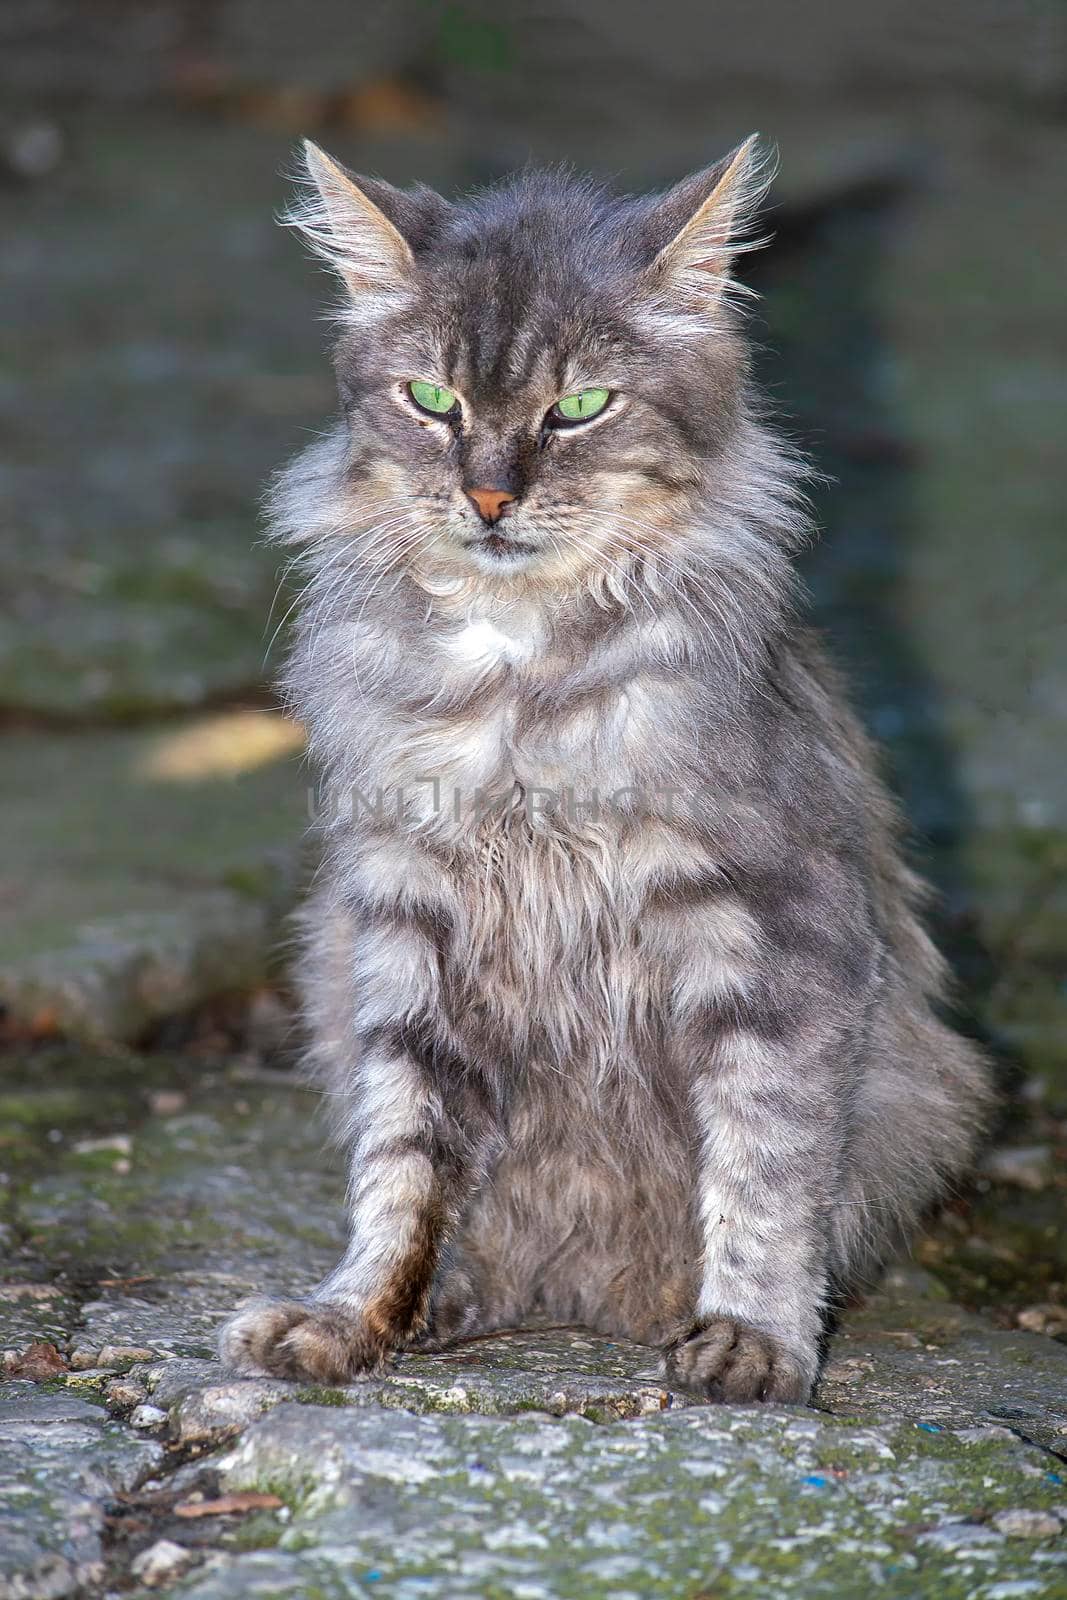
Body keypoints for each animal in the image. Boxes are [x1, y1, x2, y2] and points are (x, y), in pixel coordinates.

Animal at [220, 137, 998, 1401]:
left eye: (578, 407)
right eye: (431, 401)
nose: (489, 495)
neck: (515, 680)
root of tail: (582, 1303)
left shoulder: (773, 929)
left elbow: (763, 1161)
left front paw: (750, 1339)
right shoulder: (402, 922)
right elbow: (399, 1161)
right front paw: (352, 1315)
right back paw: (451, 1306)